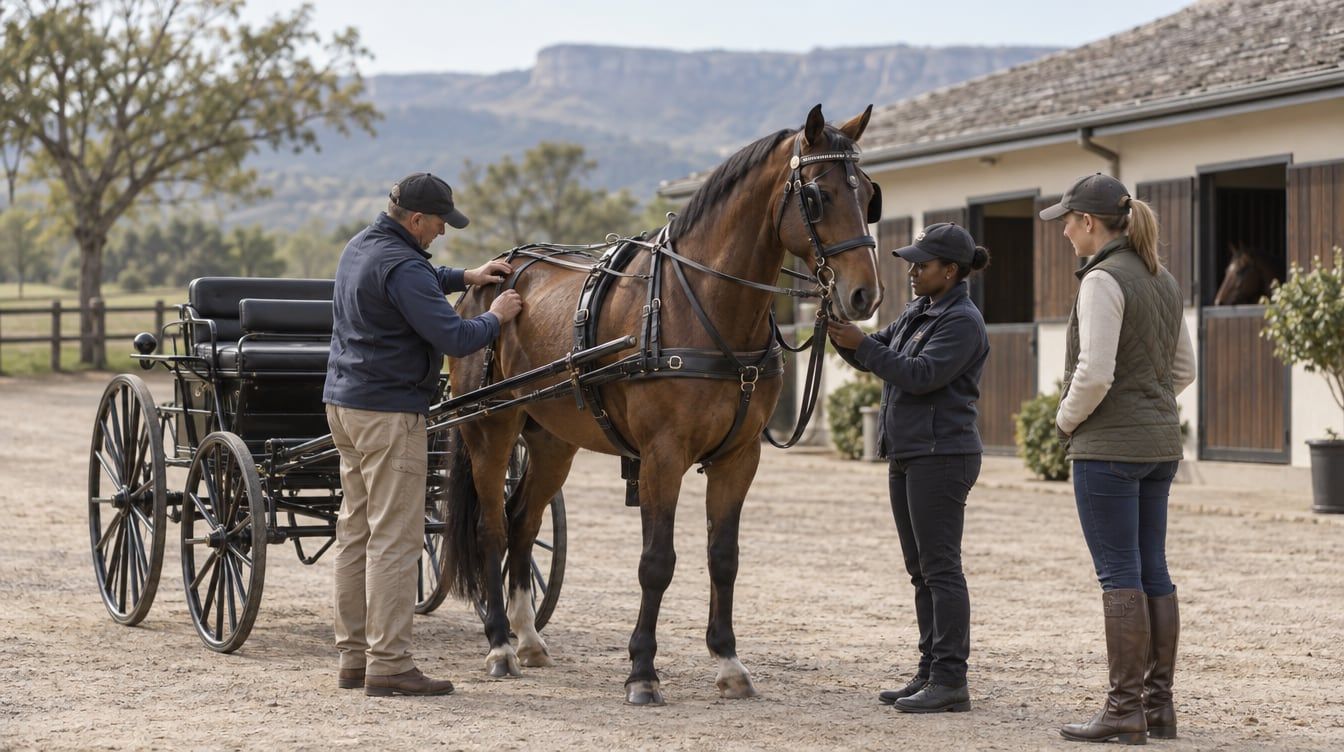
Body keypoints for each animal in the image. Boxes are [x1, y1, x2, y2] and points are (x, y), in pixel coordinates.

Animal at [442, 104, 882, 705]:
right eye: (818, 195)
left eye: (869, 194)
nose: (864, 295)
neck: (698, 303)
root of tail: (484, 281)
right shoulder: (662, 455)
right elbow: (657, 562)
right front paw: (642, 672)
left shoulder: (740, 457)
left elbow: (724, 558)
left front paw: (728, 662)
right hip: (490, 428)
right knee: (491, 528)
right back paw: (499, 645)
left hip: (552, 442)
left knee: (522, 524)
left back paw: (527, 638)